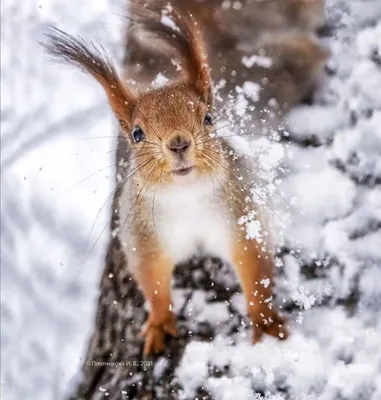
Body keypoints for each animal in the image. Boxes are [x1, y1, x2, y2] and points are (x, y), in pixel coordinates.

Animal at [42, 1, 326, 354]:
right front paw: (159, 322)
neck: (186, 197)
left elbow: (254, 264)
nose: (178, 143)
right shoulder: (144, 238)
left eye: (208, 118)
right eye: (137, 133)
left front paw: (264, 319)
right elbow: (152, 281)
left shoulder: (242, 217)